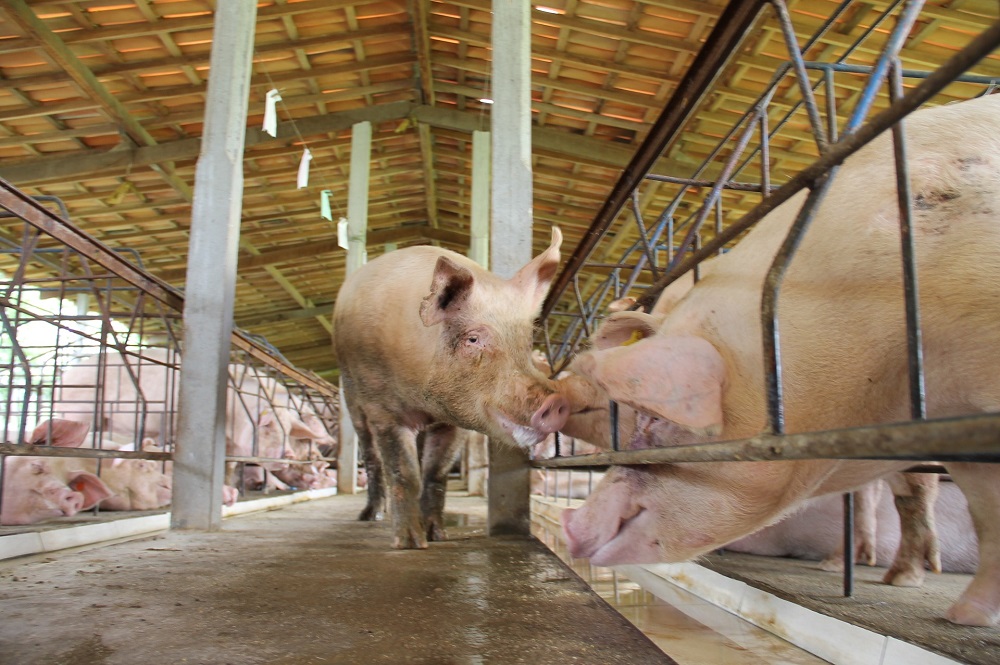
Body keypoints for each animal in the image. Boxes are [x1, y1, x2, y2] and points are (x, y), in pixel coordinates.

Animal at [334, 226, 572, 548]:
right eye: (473, 339)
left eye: (526, 341)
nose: (556, 401)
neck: (425, 399)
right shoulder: (383, 407)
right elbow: (402, 470)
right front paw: (410, 544)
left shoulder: (456, 420)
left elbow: (436, 472)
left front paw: (437, 536)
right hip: (352, 399)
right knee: (371, 456)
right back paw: (371, 516)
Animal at [564, 96, 1000, 624]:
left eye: (653, 416)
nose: (570, 527)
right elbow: (985, 510)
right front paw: (968, 616)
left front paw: (959, 619)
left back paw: (894, 577)